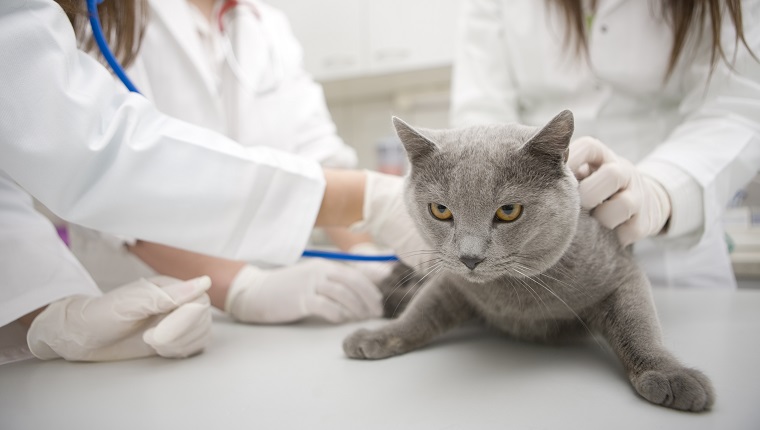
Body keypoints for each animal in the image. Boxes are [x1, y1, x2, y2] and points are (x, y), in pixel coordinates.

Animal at [348, 109, 716, 412]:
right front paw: (377, 336)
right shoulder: (452, 282)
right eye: (440, 210)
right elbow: (420, 312)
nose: (469, 257)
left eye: (508, 211)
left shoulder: (621, 272)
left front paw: (670, 375)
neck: (516, 296)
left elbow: (638, 325)